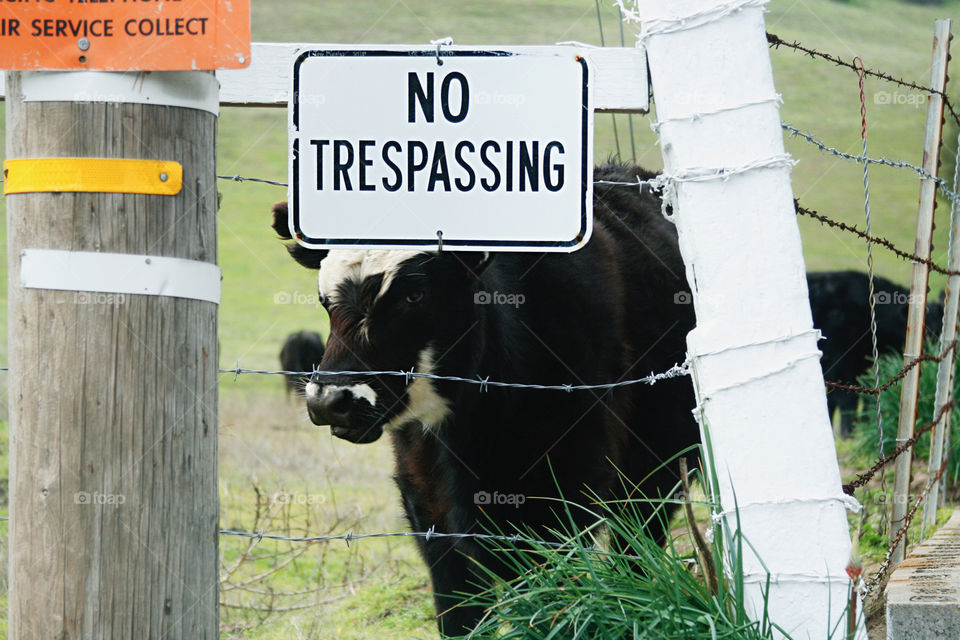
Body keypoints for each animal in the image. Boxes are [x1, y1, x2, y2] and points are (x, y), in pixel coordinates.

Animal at [271, 163, 700, 636]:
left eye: (414, 294)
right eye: (322, 297)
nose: (330, 400)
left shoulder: (563, 499)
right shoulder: (428, 512)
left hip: (659, 465)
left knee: (636, 548)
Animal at [807, 270, 944, 436]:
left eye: (940, 330)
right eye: (926, 332)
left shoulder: (863, 367)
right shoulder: (841, 363)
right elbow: (845, 400)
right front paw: (848, 433)